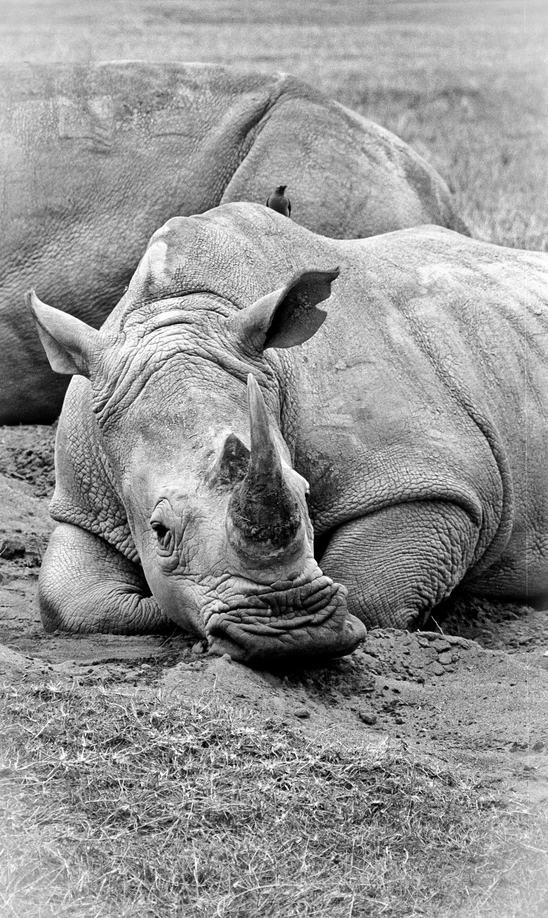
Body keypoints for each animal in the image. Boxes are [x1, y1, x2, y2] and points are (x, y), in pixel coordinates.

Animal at [27, 204, 548, 665]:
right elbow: (68, 598)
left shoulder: (438, 480)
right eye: (159, 530)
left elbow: (367, 590)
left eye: (305, 493)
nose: (295, 633)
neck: (182, 312)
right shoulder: (83, 498)